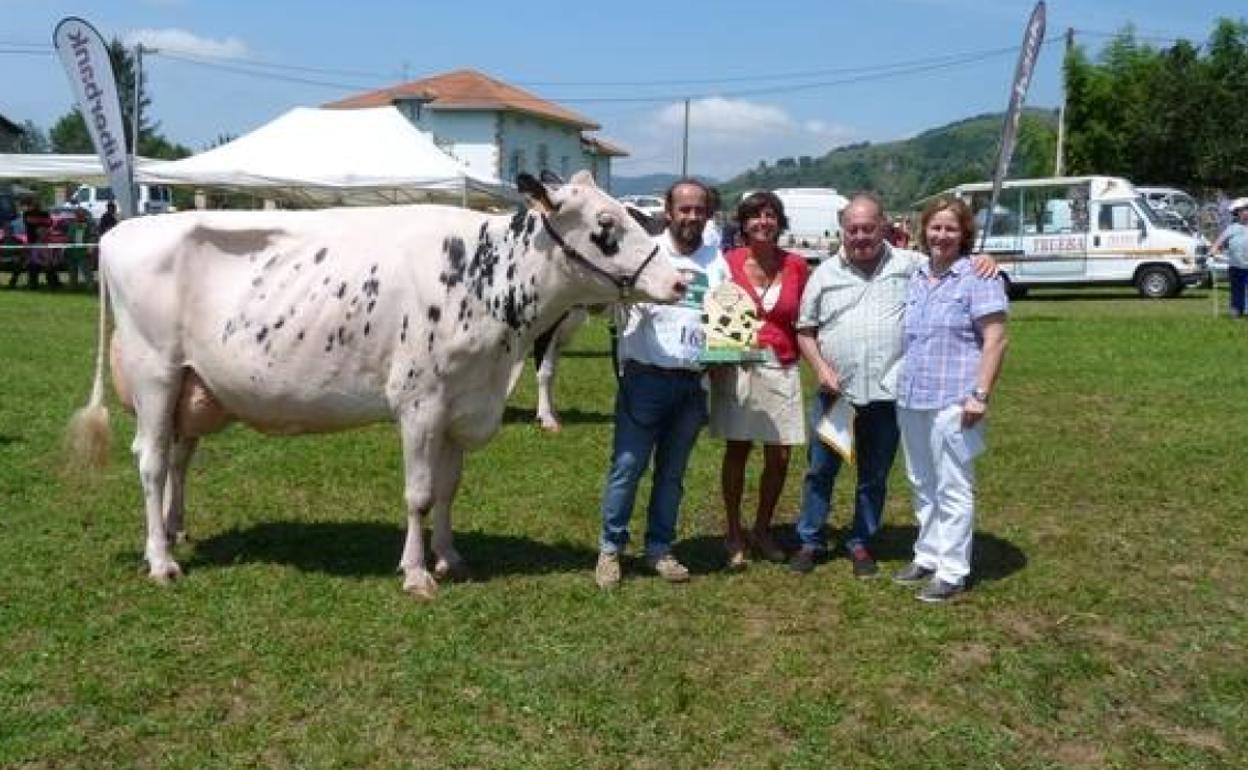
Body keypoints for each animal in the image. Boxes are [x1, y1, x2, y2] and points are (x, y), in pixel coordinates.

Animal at [67, 170, 683, 596]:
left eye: (634, 215)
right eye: (605, 228)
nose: (679, 280)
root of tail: (122, 230)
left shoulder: (463, 407)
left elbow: (449, 489)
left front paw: (450, 557)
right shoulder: (419, 401)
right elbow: (419, 494)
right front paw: (416, 573)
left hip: (192, 387)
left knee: (178, 457)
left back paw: (175, 532)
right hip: (154, 372)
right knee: (150, 460)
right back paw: (161, 560)